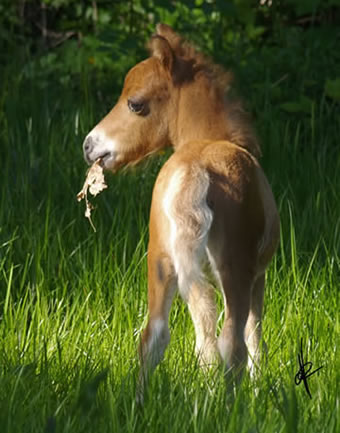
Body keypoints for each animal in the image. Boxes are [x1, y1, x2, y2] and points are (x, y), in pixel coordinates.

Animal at [81, 22, 278, 394]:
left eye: (135, 103)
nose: (89, 145)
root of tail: (195, 170)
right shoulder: (259, 274)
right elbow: (256, 334)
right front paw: (261, 388)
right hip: (235, 267)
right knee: (231, 339)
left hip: (160, 258)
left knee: (154, 335)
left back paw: (141, 400)